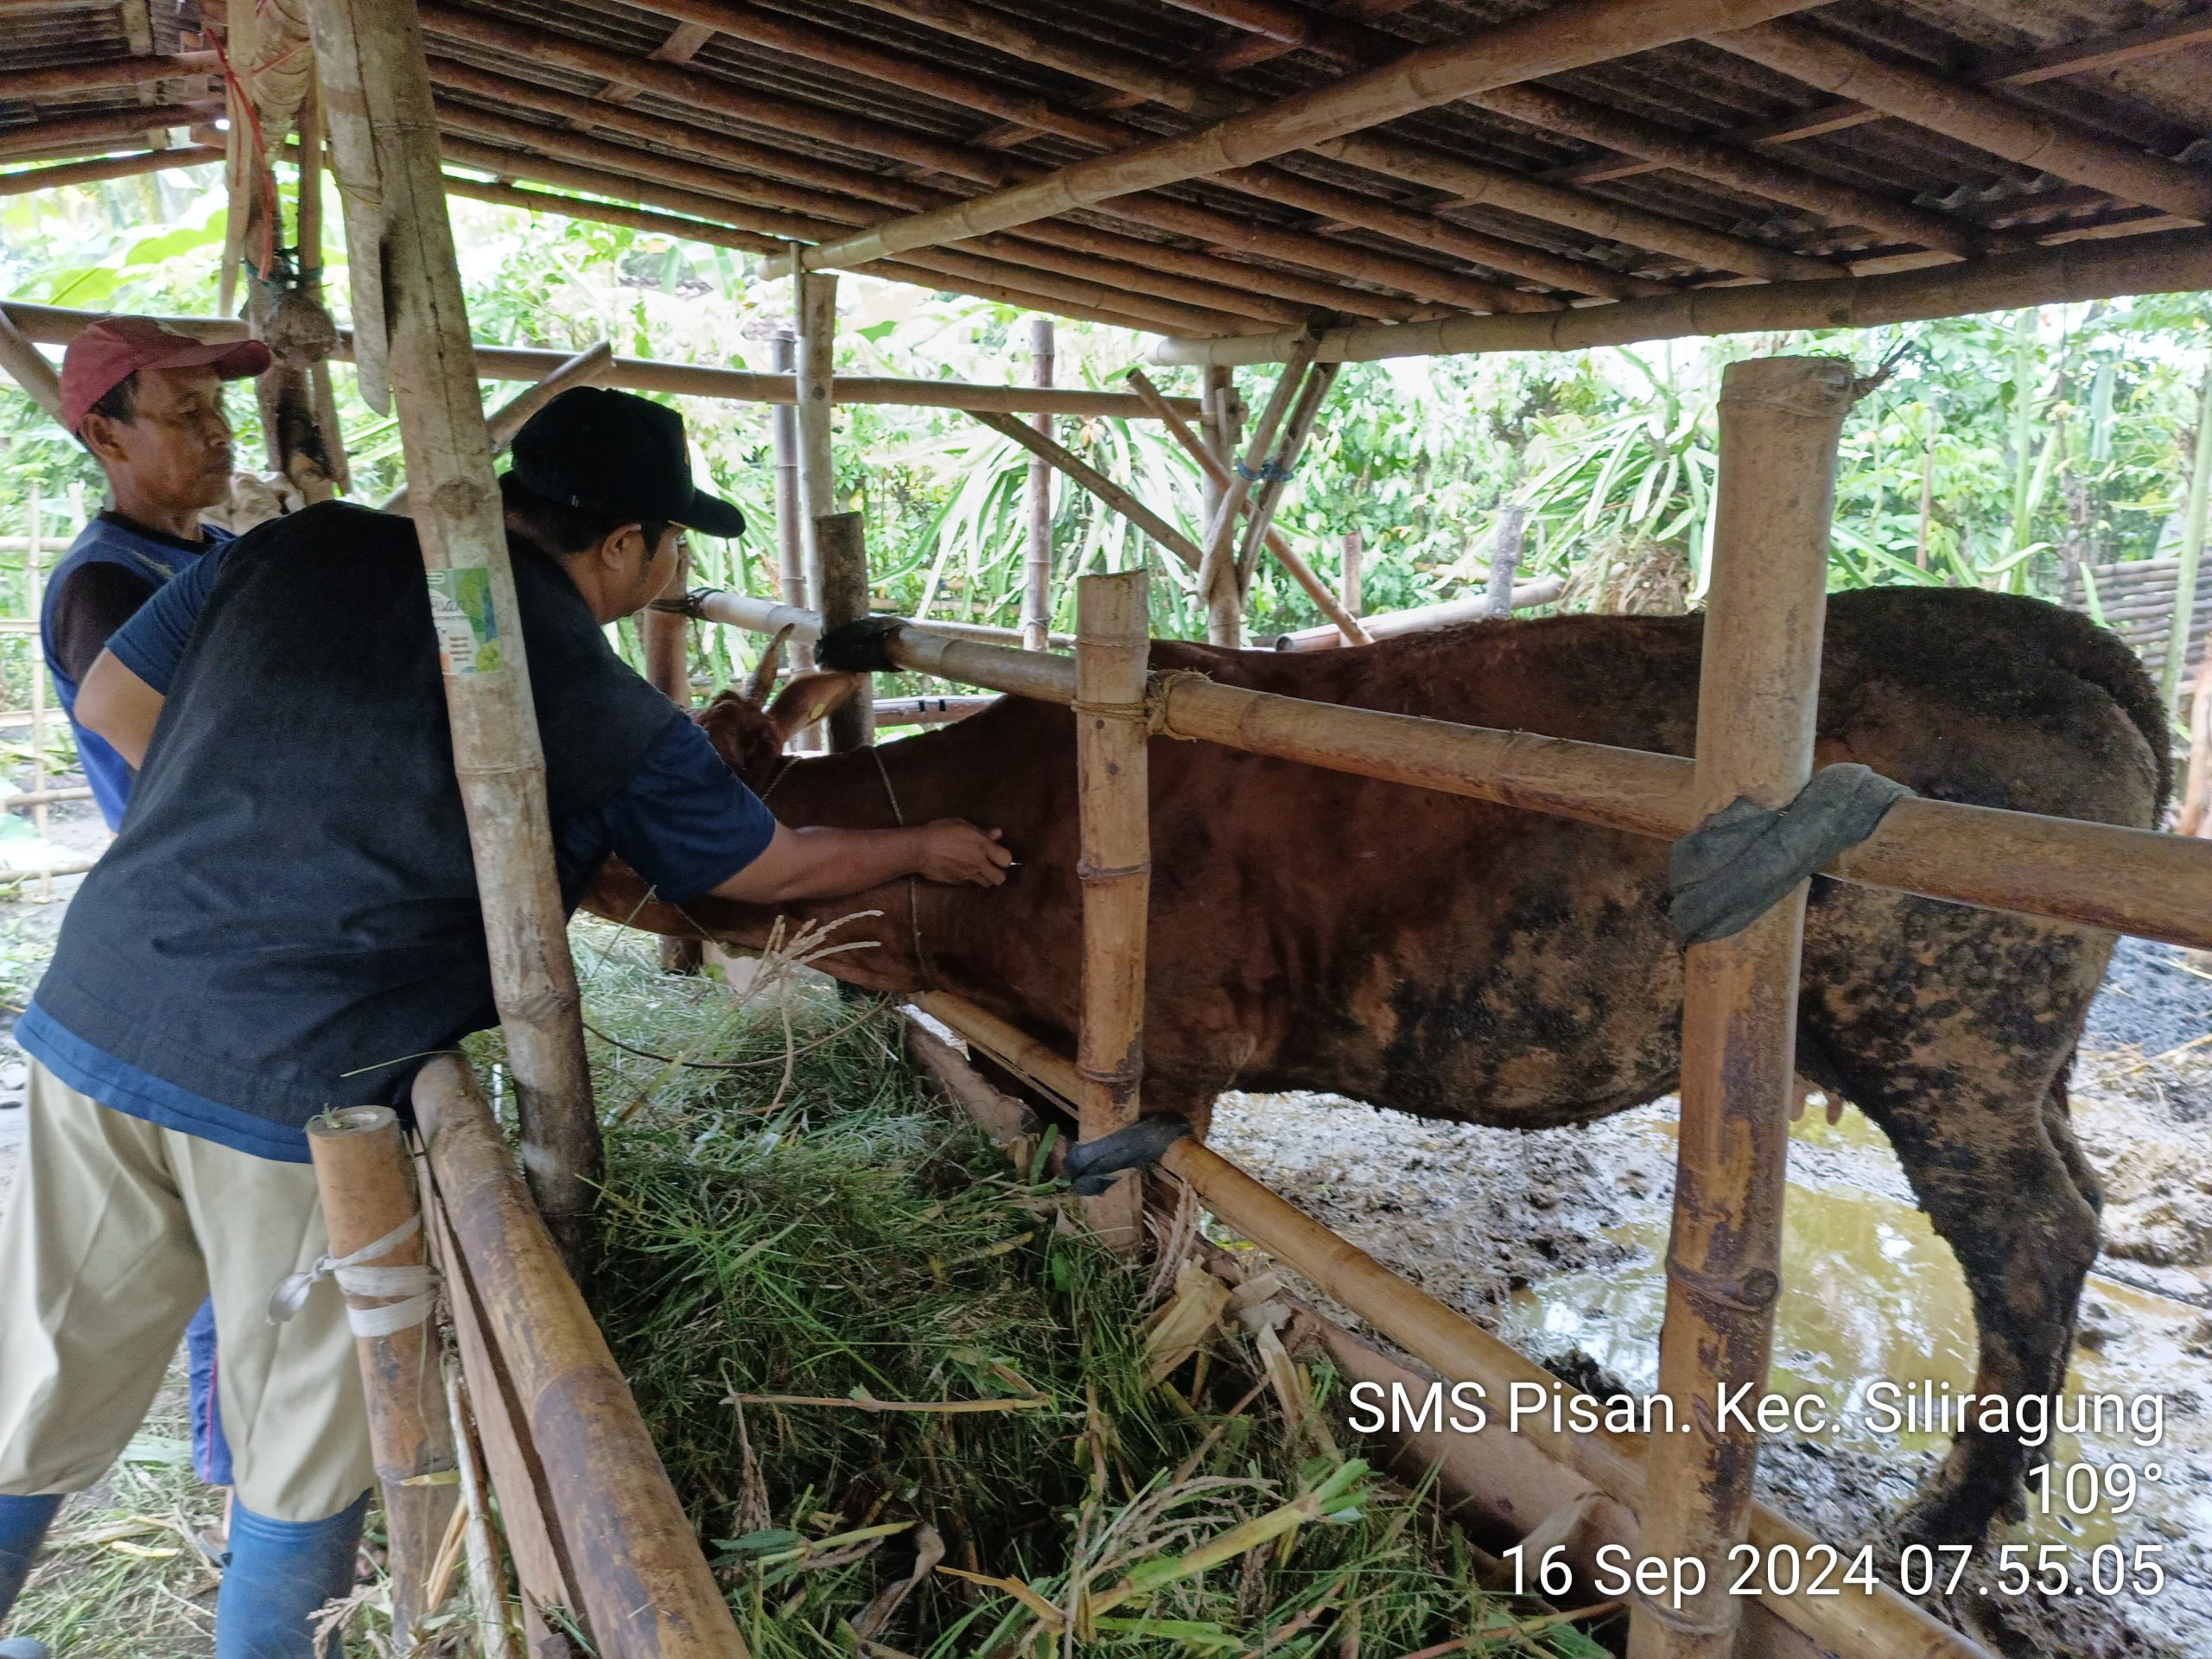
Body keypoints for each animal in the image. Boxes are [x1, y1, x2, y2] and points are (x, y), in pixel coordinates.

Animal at [583, 583, 2158, 1548]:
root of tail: (2044, 636)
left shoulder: (1163, 1056)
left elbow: (1150, 1221)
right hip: (2021, 1060)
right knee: (2078, 1196)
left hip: (1943, 1030)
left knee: (2032, 1236)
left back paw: (1949, 1516)